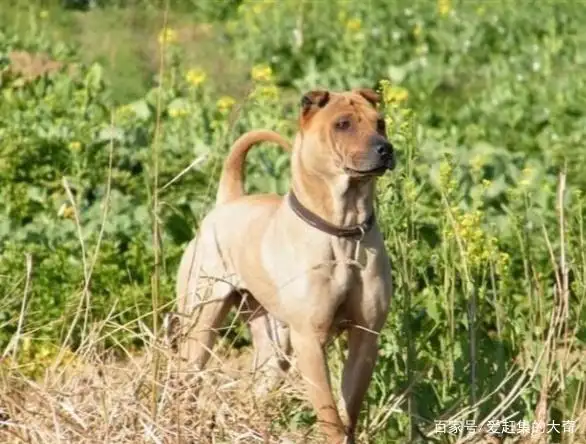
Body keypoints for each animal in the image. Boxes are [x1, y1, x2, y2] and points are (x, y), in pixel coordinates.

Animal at [172, 88, 392, 442]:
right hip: (201, 322)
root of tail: (228, 201)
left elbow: (348, 411)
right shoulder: (310, 340)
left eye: (380, 123)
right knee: (189, 374)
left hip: (274, 347)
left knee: (255, 389)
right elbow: (330, 415)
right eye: (342, 124)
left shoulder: (366, 336)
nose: (385, 148)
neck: (343, 230)